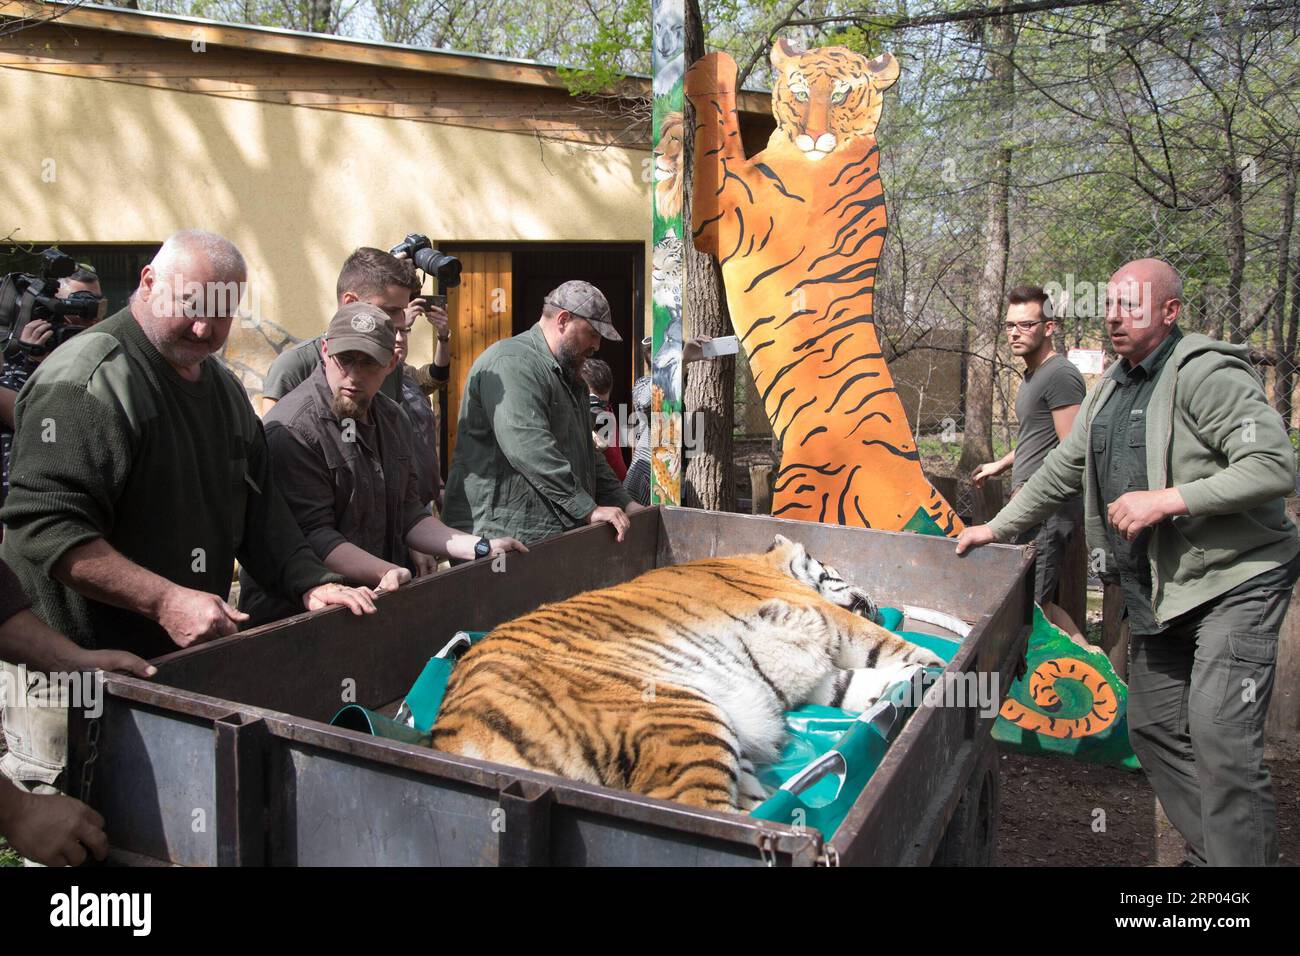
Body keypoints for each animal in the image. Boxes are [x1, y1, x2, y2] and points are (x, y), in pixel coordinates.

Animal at [431, 535, 951, 811]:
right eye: (836, 567)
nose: (879, 602)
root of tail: (451, 732)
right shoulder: (823, 616)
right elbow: (887, 645)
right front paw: (942, 672)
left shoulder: (813, 668)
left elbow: (853, 686)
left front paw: (905, 687)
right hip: (683, 713)